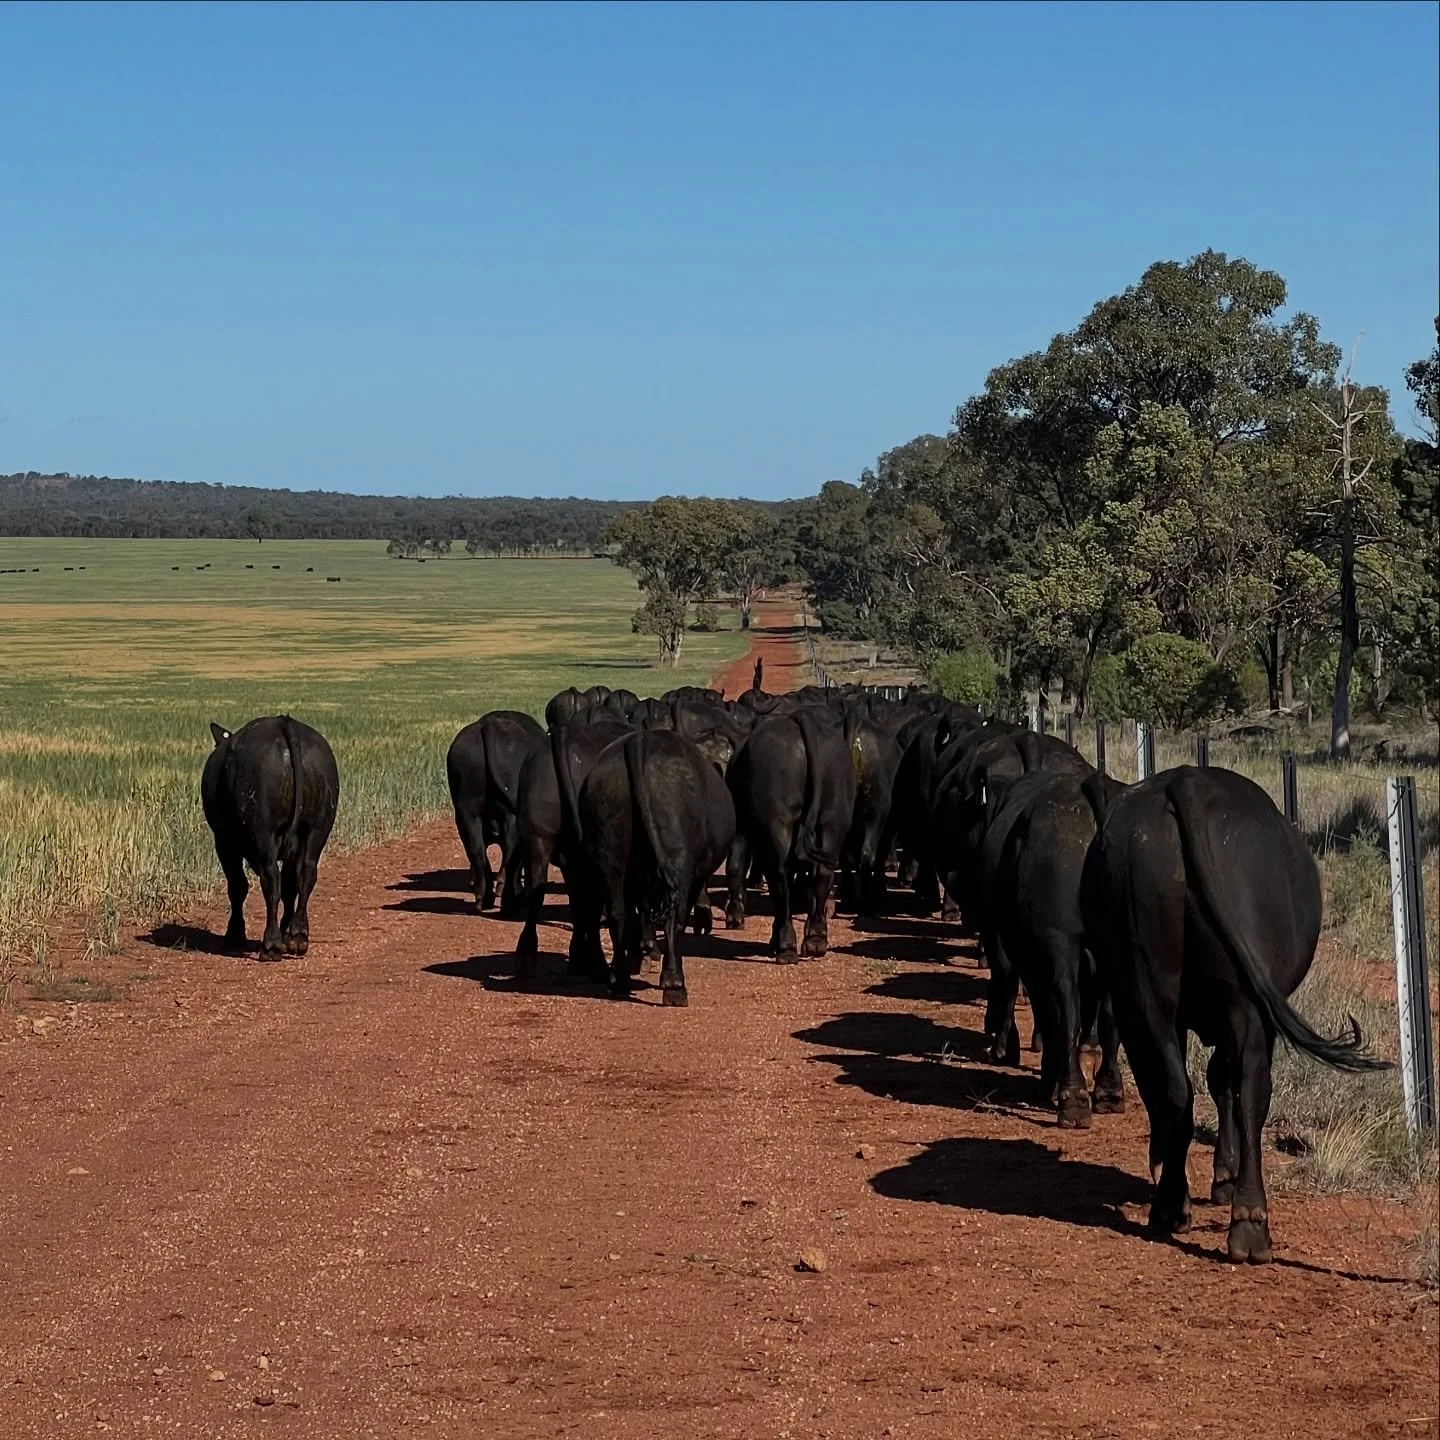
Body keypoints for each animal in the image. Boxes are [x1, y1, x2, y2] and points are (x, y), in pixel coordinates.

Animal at [201, 715, 339, 960]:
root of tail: (285, 722)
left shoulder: (224, 843)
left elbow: (238, 886)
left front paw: (234, 935)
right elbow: (290, 886)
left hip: (263, 835)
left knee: (271, 879)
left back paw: (272, 943)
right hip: (316, 830)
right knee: (305, 875)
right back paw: (296, 936)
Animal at [445, 710, 546, 914]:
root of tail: (490, 725)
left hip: (467, 812)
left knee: (477, 850)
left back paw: (483, 898)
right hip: (509, 815)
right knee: (510, 851)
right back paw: (509, 900)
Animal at [725, 707, 856, 959]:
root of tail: (800, 719)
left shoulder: (740, 830)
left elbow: (735, 866)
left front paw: (735, 916)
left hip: (778, 824)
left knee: (780, 877)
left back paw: (785, 945)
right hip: (832, 821)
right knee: (822, 875)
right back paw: (815, 940)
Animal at [1080, 765, 1388, 1263]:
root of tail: (1187, 781)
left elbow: (1211, 1082)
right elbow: (1221, 1082)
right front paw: (1220, 1175)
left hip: (1155, 992)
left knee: (1181, 1088)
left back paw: (1184, 1207)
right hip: (1231, 1004)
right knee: (1239, 1090)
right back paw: (1234, 1219)